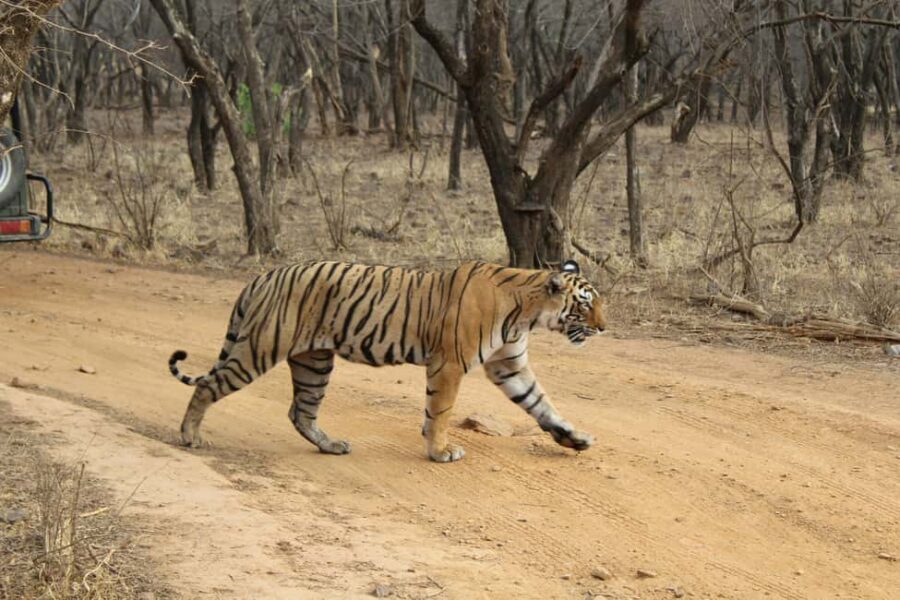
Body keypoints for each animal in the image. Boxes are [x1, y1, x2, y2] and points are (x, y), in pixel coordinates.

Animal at [168, 259, 606, 462]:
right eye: (585, 305)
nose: (604, 328)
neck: (528, 312)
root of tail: (262, 276)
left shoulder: (509, 365)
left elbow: (541, 403)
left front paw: (575, 438)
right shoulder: (449, 363)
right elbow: (441, 410)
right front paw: (440, 451)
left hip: (315, 362)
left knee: (300, 412)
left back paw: (332, 446)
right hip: (259, 348)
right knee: (208, 386)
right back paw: (190, 436)